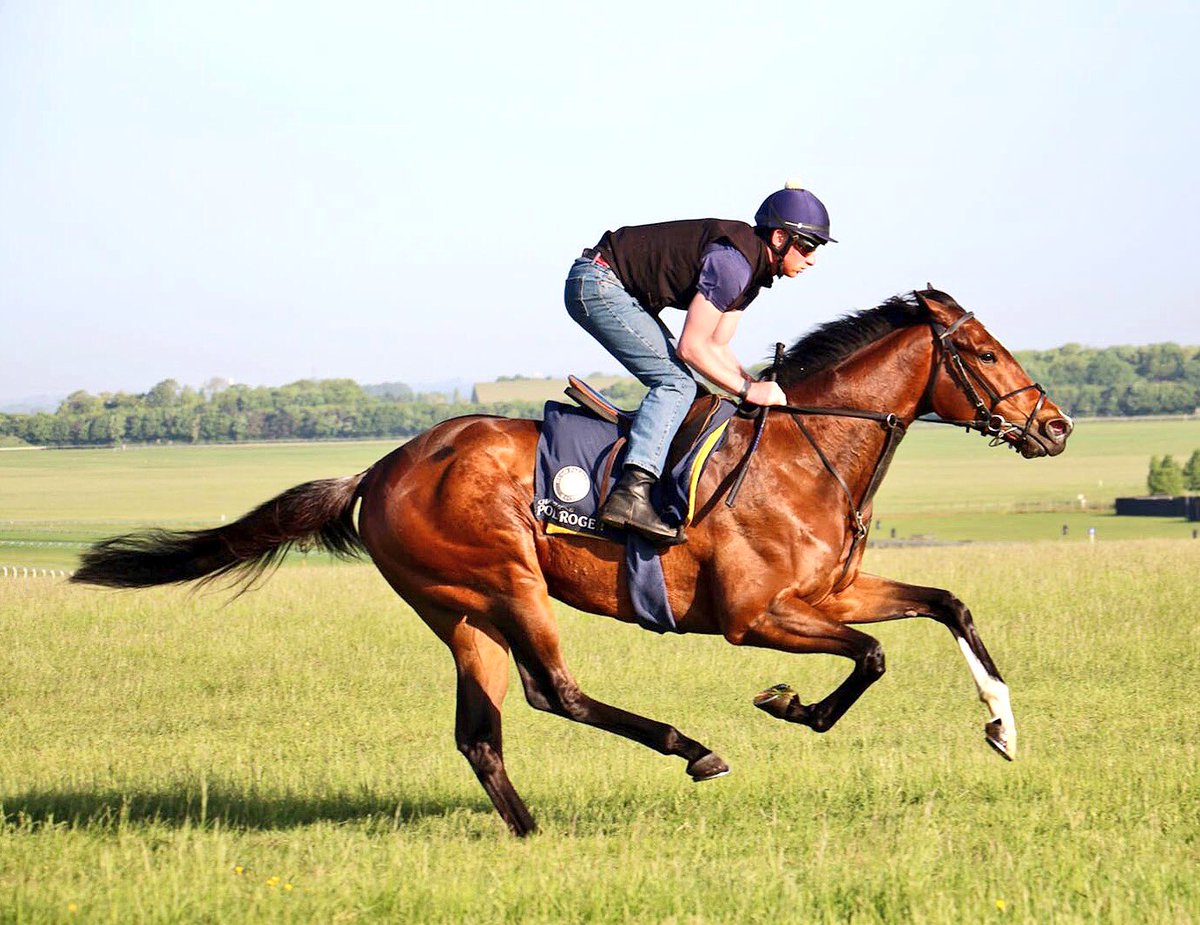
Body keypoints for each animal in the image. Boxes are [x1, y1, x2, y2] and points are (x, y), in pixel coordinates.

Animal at [72, 291, 1070, 839]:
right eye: (983, 351)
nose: (1055, 425)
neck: (805, 449)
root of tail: (383, 467)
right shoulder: (754, 617)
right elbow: (872, 656)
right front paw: (788, 705)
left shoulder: (834, 589)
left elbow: (946, 603)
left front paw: (1003, 725)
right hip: (507, 582)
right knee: (553, 689)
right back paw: (690, 748)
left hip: (458, 610)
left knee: (482, 730)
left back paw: (530, 831)